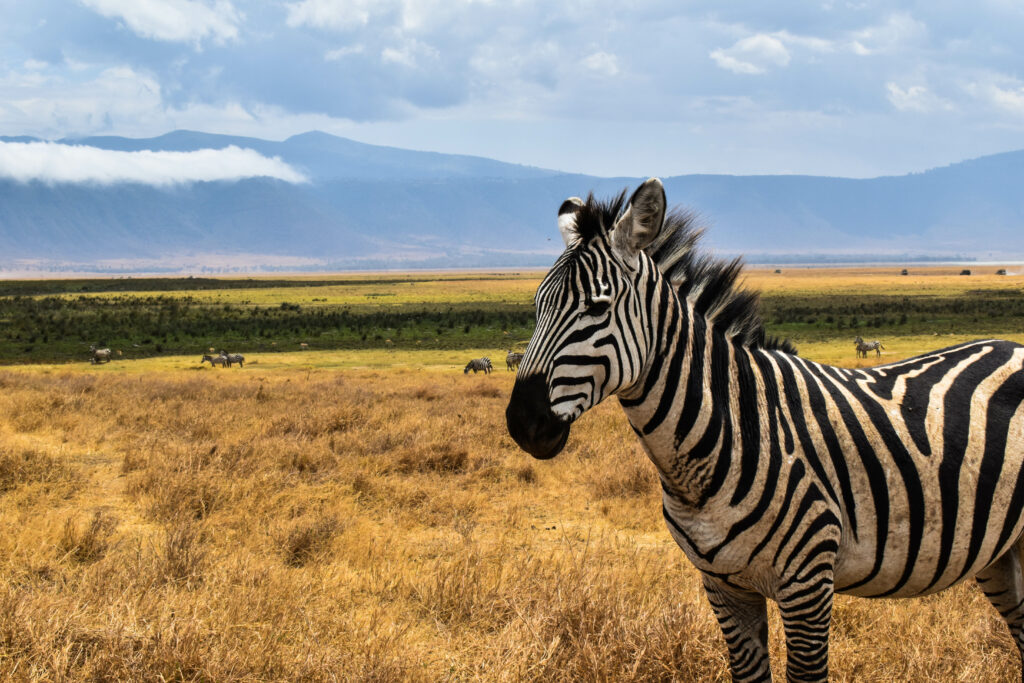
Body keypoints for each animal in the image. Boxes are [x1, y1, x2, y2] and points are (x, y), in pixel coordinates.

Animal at [503, 178, 1024, 683]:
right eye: (537, 306)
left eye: (598, 307)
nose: (522, 423)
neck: (726, 431)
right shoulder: (723, 587)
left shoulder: (809, 582)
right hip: (1002, 552)